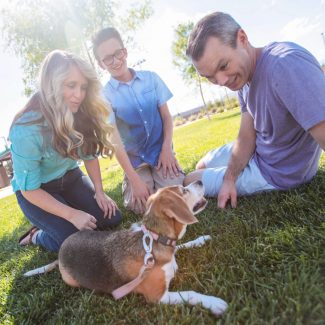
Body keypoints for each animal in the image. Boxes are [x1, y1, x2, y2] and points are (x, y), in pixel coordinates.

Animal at [24, 181, 227, 316]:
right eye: (183, 190)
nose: (200, 181)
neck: (154, 237)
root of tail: (60, 252)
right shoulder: (157, 296)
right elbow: (191, 294)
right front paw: (214, 302)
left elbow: (182, 246)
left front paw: (200, 240)